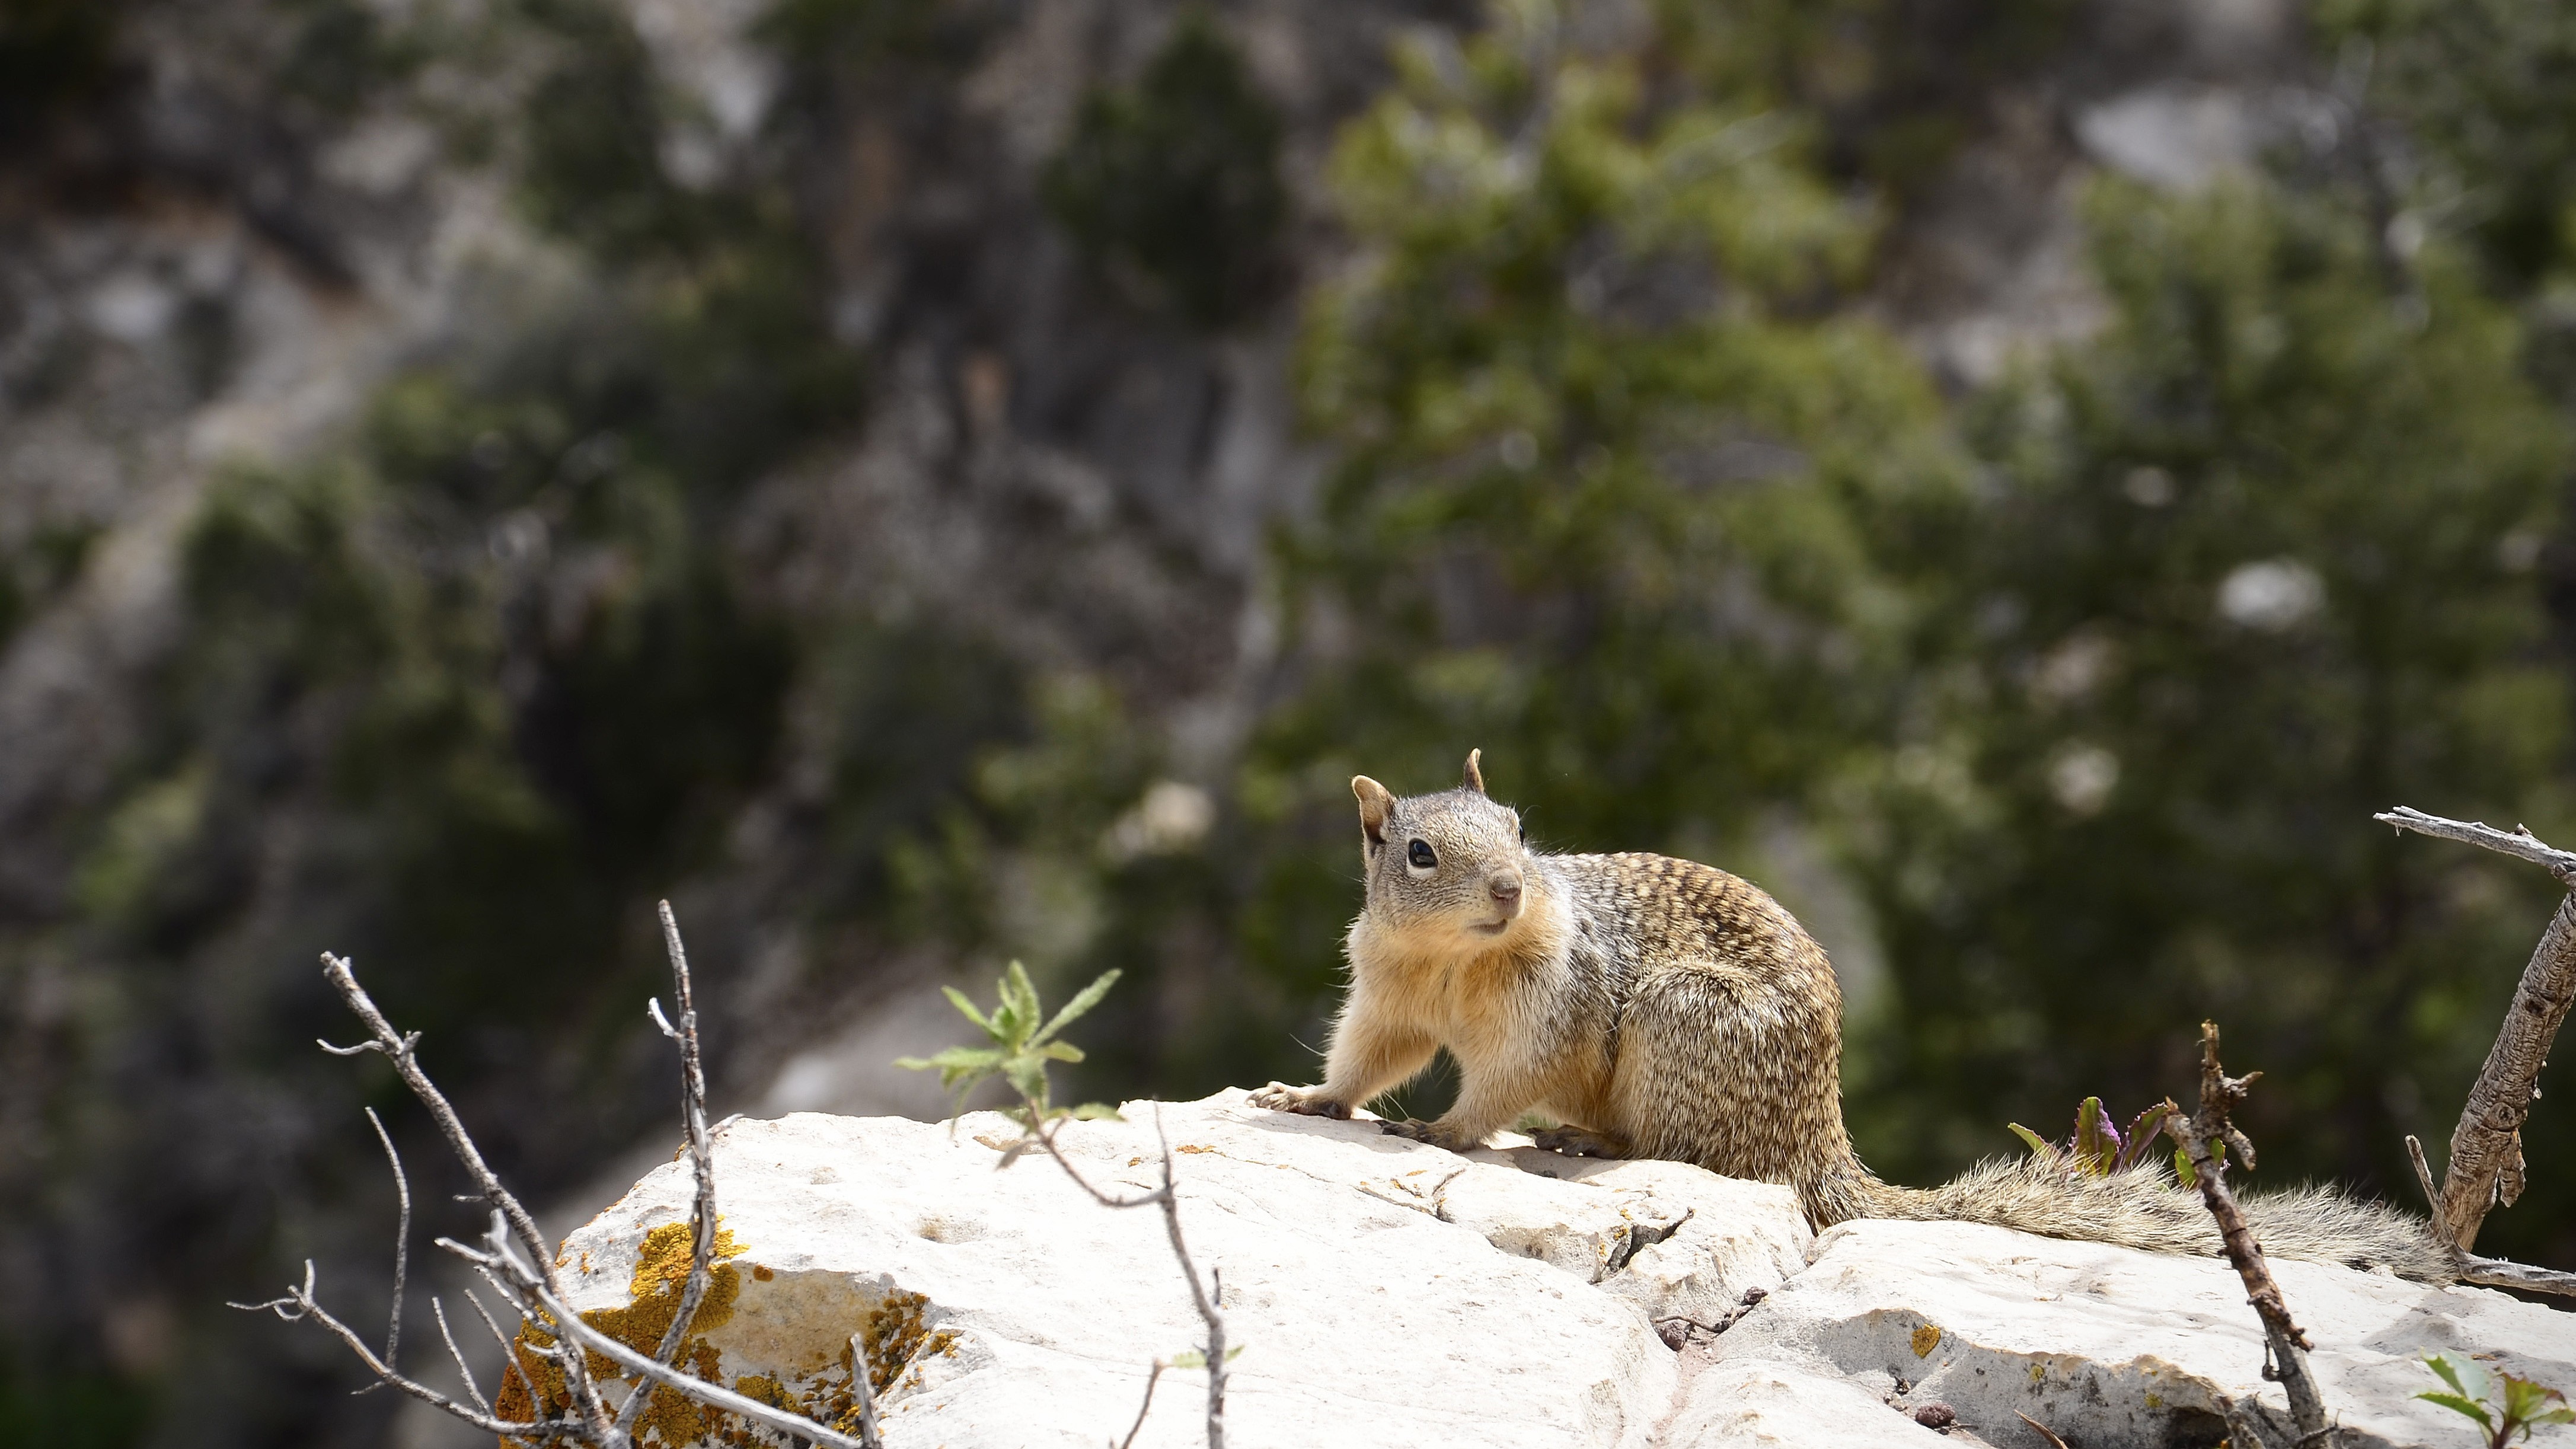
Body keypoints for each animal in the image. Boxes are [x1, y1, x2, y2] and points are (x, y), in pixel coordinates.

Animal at [1250, 751, 2454, 1281]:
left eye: (1513, 822)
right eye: (1419, 852)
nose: (1508, 888)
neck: (1461, 957)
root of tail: (1822, 1143)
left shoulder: (1545, 1006)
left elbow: (1500, 1079)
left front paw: (1449, 1130)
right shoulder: (1388, 989)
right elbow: (1369, 1055)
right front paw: (1307, 1094)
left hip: (1683, 1024)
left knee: (1696, 1151)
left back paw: (1588, 1137)